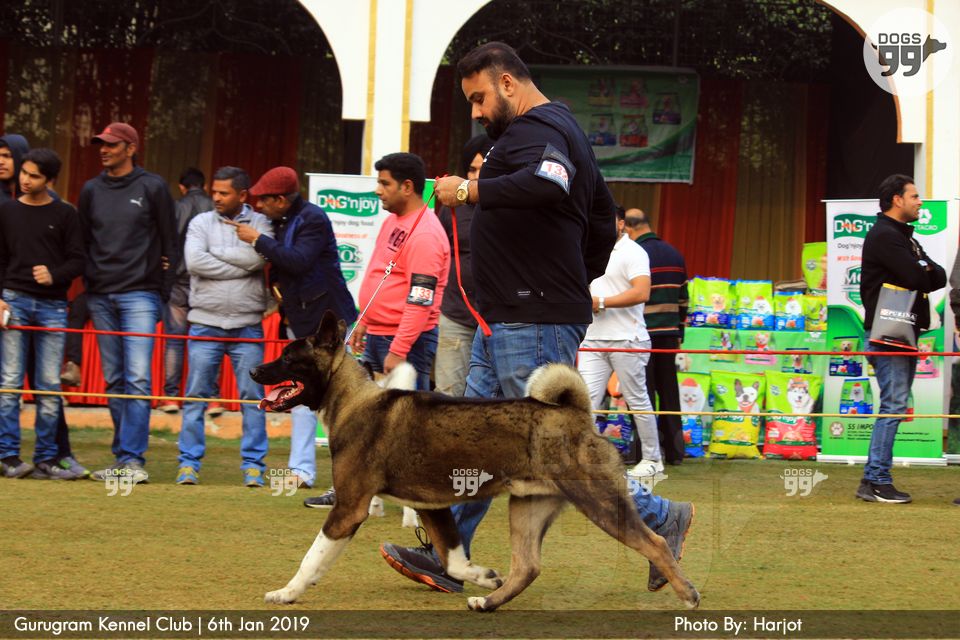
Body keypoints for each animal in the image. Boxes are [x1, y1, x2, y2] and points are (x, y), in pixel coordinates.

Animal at [250, 311, 700, 612]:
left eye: (289, 357)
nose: (255, 370)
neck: (353, 400)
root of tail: (576, 413)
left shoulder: (349, 508)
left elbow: (312, 558)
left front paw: (286, 592)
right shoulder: (432, 508)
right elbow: (454, 558)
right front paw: (480, 576)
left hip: (599, 502)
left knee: (655, 543)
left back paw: (687, 592)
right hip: (528, 508)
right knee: (528, 566)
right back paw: (490, 600)